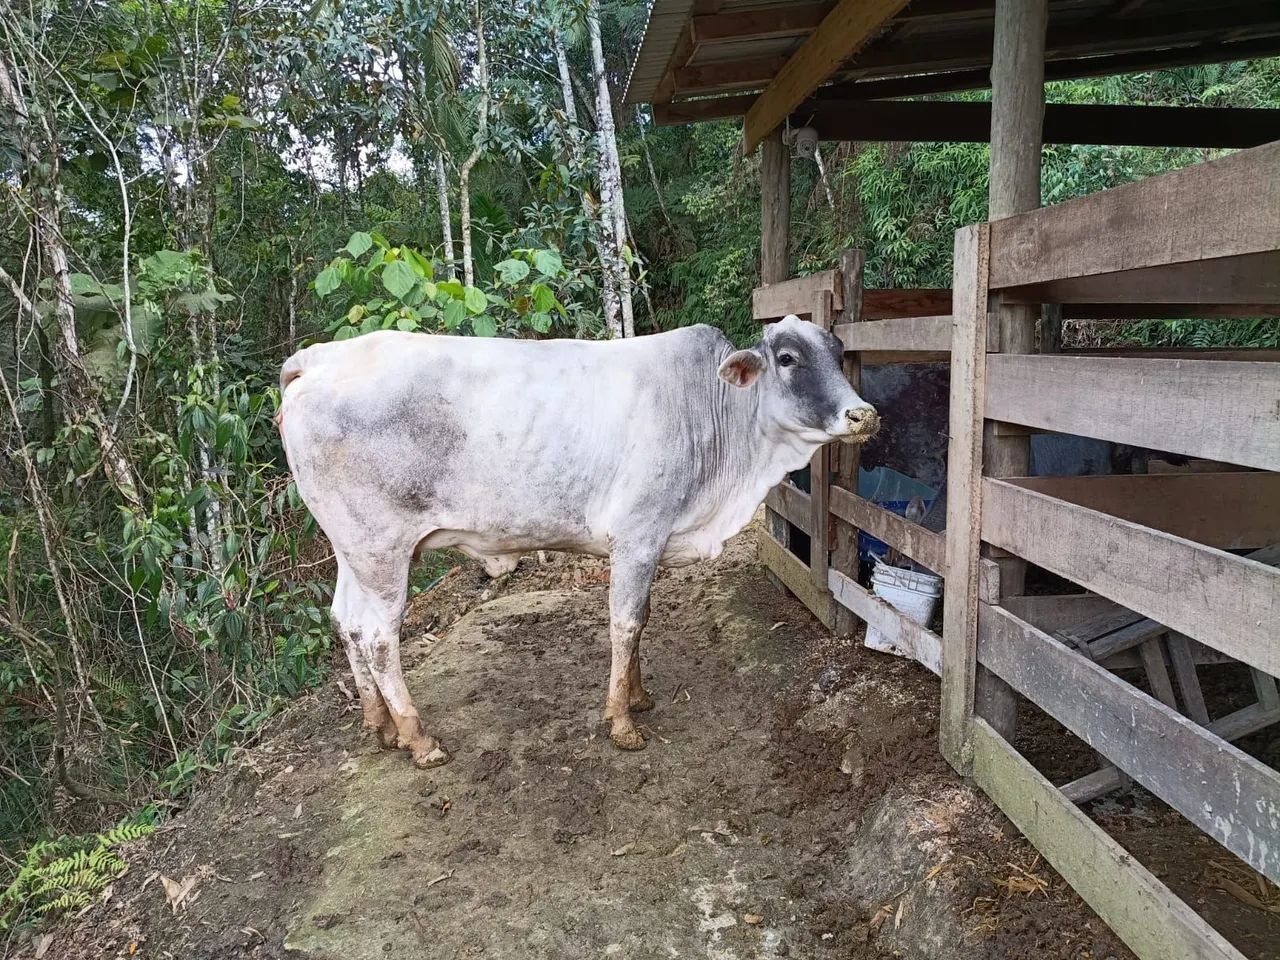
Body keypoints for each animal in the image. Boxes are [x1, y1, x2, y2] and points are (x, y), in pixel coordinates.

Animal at [278, 316, 878, 767]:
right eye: (788, 359)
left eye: (837, 351)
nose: (863, 413)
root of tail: (319, 358)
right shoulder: (638, 535)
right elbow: (626, 622)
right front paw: (622, 721)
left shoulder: (648, 542)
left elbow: (642, 619)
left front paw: (639, 695)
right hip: (381, 549)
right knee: (379, 637)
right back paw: (417, 737)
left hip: (351, 551)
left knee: (346, 622)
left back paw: (379, 725)